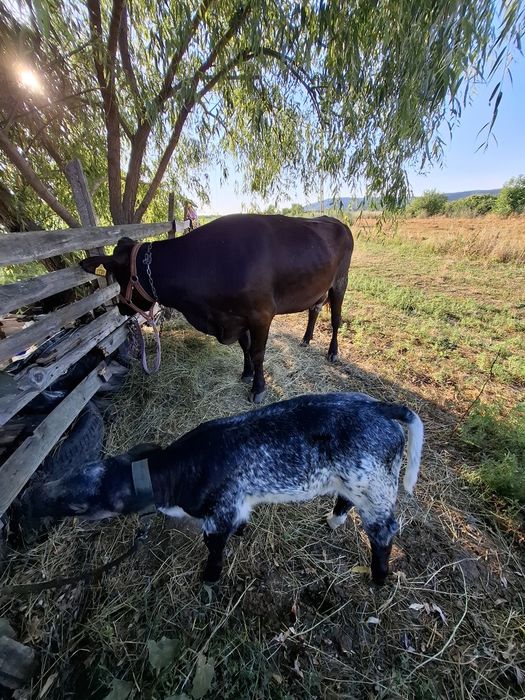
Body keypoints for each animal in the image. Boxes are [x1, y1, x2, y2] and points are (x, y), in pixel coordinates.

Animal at [80, 214, 353, 402]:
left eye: (117, 276)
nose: (122, 310)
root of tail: (335, 221)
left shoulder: (261, 314)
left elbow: (258, 352)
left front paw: (258, 388)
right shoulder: (236, 317)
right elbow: (245, 348)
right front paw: (246, 373)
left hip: (340, 281)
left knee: (336, 318)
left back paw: (332, 352)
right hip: (318, 287)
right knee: (315, 309)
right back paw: (306, 339)